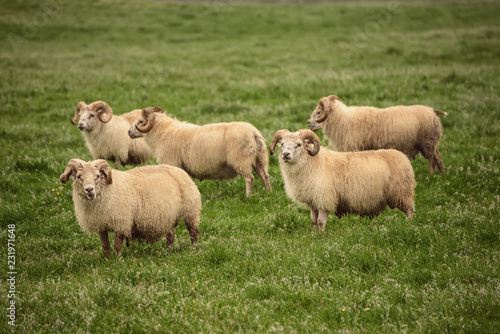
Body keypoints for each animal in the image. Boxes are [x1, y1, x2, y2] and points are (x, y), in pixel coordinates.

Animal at [58, 158, 199, 258]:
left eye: (97, 176)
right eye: (78, 177)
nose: (89, 189)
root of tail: (178, 169)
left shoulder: (121, 221)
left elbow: (116, 245)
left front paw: (118, 260)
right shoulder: (100, 224)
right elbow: (105, 245)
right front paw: (108, 260)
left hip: (190, 211)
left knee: (193, 231)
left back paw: (194, 248)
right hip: (166, 217)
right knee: (171, 235)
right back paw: (167, 251)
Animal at [127, 106, 272, 196]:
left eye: (140, 121)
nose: (128, 132)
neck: (162, 131)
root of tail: (254, 133)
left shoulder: (173, 163)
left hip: (241, 160)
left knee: (250, 178)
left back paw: (247, 196)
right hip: (258, 159)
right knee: (264, 176)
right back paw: (268, 192)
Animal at [272, 129, 416, 231]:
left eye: (299, 144)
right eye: (282, 144)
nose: (286, 154)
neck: (311, 163)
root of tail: (403, 157)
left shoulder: (325, 199)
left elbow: (320, 221)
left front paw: (322, 237)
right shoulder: (313, 201)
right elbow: (313, 220)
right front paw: (314, 235)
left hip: (402, 193)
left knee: (409, 210)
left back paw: (409, 226)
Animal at [306, 95, 448, 175]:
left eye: (318, 112)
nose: (308, 122)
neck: (341, 119)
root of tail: (433, 111)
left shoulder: (354, 148)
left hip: (427, 141)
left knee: (432, 158)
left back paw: (430, 175)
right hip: (429, 142)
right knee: (438, 156)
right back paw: (442, 174)